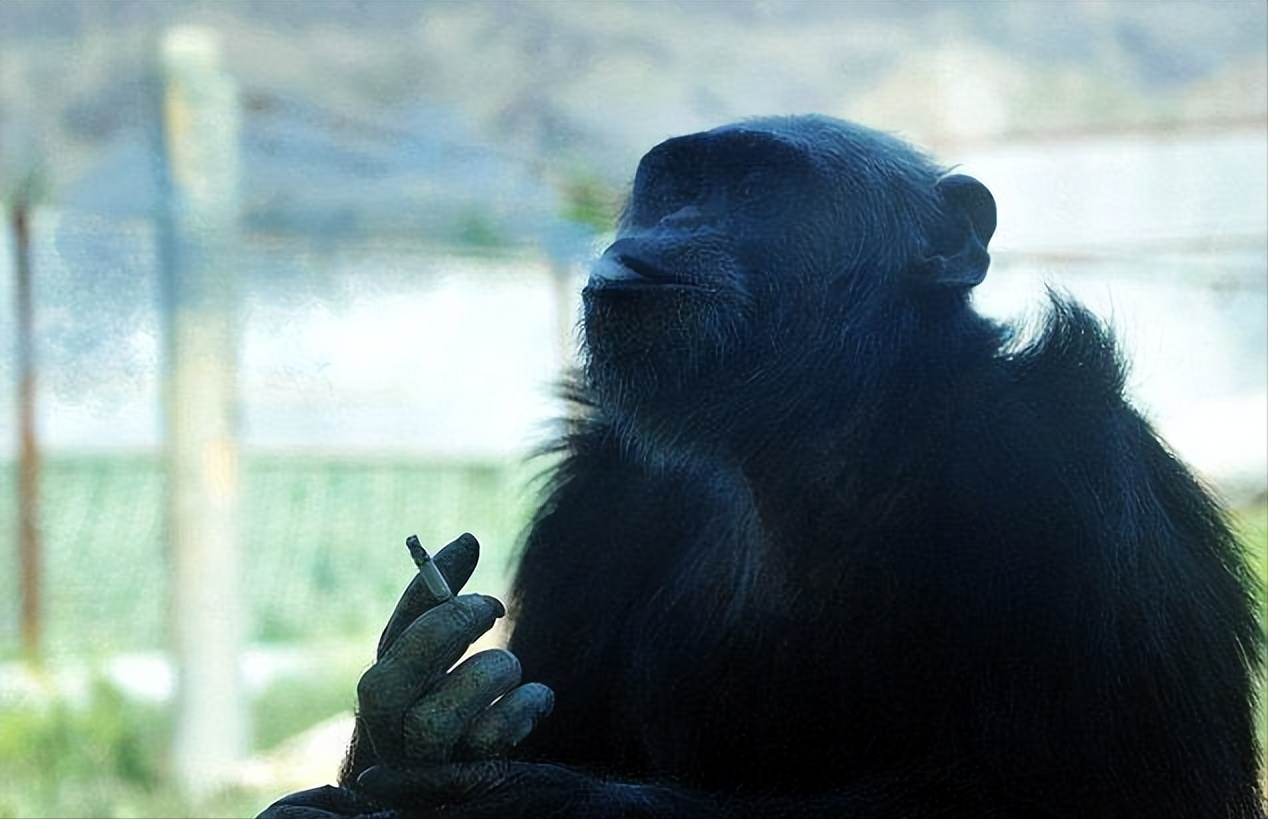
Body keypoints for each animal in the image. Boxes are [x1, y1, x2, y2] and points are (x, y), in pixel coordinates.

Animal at [262, 115, 1262, 819]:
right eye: (676, 183)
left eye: (755, 184)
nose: (674, 222)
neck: (811, 434)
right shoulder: (598, 496)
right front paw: (410, 703)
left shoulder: (1076, 476)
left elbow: (1090, 792)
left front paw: (521, 796)